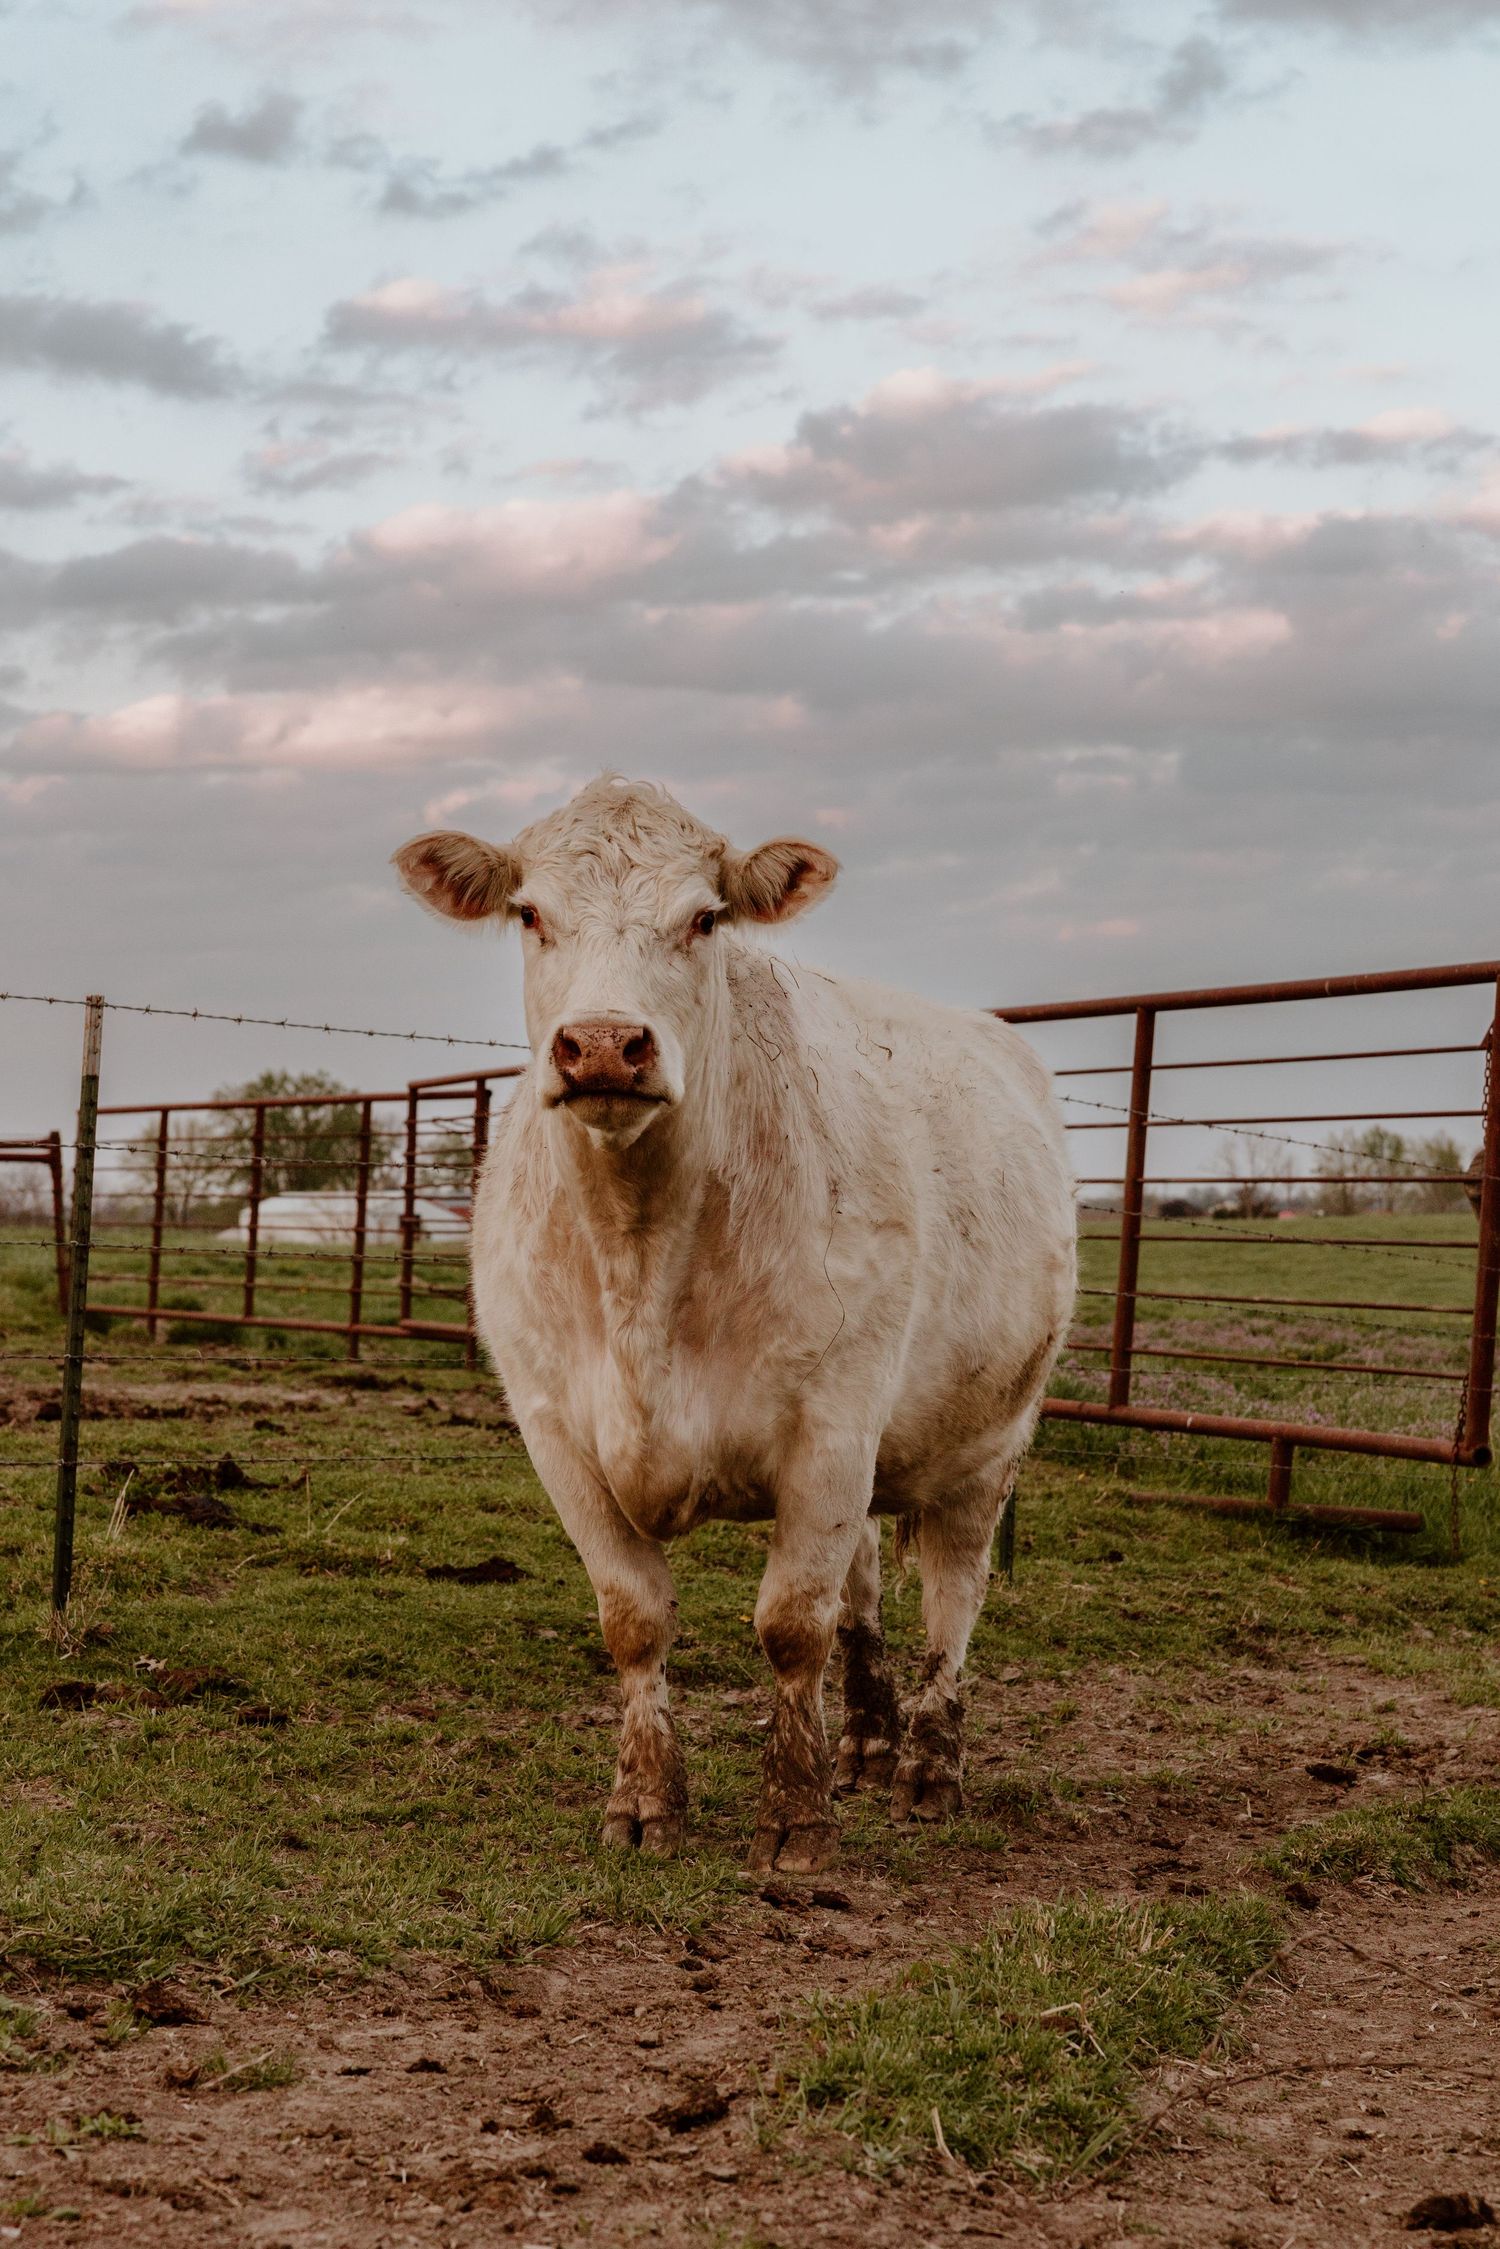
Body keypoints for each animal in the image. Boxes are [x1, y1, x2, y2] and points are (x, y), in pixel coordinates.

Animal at [394, 777, 1076, 1874]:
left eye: (705, 918)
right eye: (530, 912)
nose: (602, 1043)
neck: (641, 1251)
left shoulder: (832, 1423)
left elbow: (791, 1624)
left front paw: (796, 1819)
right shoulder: (557, 1431)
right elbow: (636, 1618)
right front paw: (644, 1801)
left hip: (991, 1436)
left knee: (952, 1593)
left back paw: (928, 1764)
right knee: (865, 1588)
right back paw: (865, 1743)